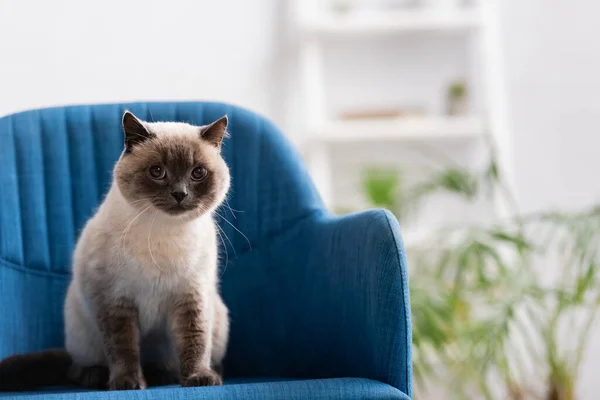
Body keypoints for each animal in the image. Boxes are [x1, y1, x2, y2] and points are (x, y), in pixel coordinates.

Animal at [0, 109, 232, 390]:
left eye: (198, 173)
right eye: (157, 172)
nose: (180, 194)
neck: (164, 231)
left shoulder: (191, 296)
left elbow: (194, 341)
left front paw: (199, 379)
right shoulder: (114, 300)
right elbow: (123, 348)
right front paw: (127, 383)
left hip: (218, 321)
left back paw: (174, 376)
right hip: (82, 333)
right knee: (76, 367)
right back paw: (99, 376)